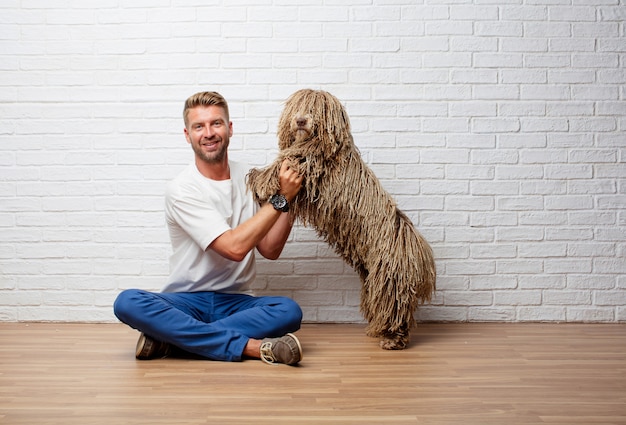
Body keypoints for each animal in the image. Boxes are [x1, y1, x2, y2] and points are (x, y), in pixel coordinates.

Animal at [245, 88, 434, 350]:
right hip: (371, 277)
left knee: (396, 311)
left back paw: (392, 339)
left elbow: (287, 158)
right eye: (297, 108)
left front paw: (259, 179)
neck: (323, 144)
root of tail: (419, 253)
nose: (301, 121)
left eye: (315, 109)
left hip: (390, 281)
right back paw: (377, 329)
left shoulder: (311, 163)